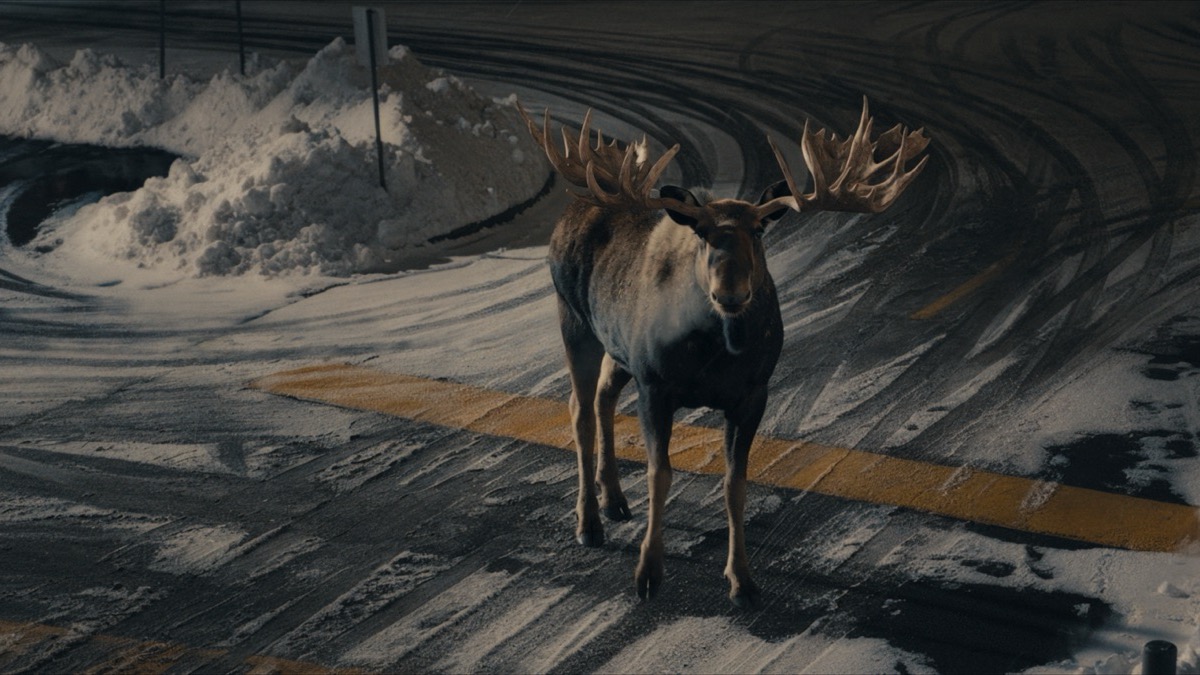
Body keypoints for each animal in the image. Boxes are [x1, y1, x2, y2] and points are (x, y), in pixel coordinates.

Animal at [517, 98, 929, 607]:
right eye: (702, 232)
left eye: (758, 231)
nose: (729, 292)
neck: (714, 354)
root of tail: (574, 205)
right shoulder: (656, 385)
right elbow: (660, 473)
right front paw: (648, 573)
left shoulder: (753, 394)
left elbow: (736, 483)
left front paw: (742, 579)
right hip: (573, 320)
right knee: (579, 409)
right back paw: (588, 523)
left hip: (617, 344)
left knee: (602, 397)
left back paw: (613, 500)